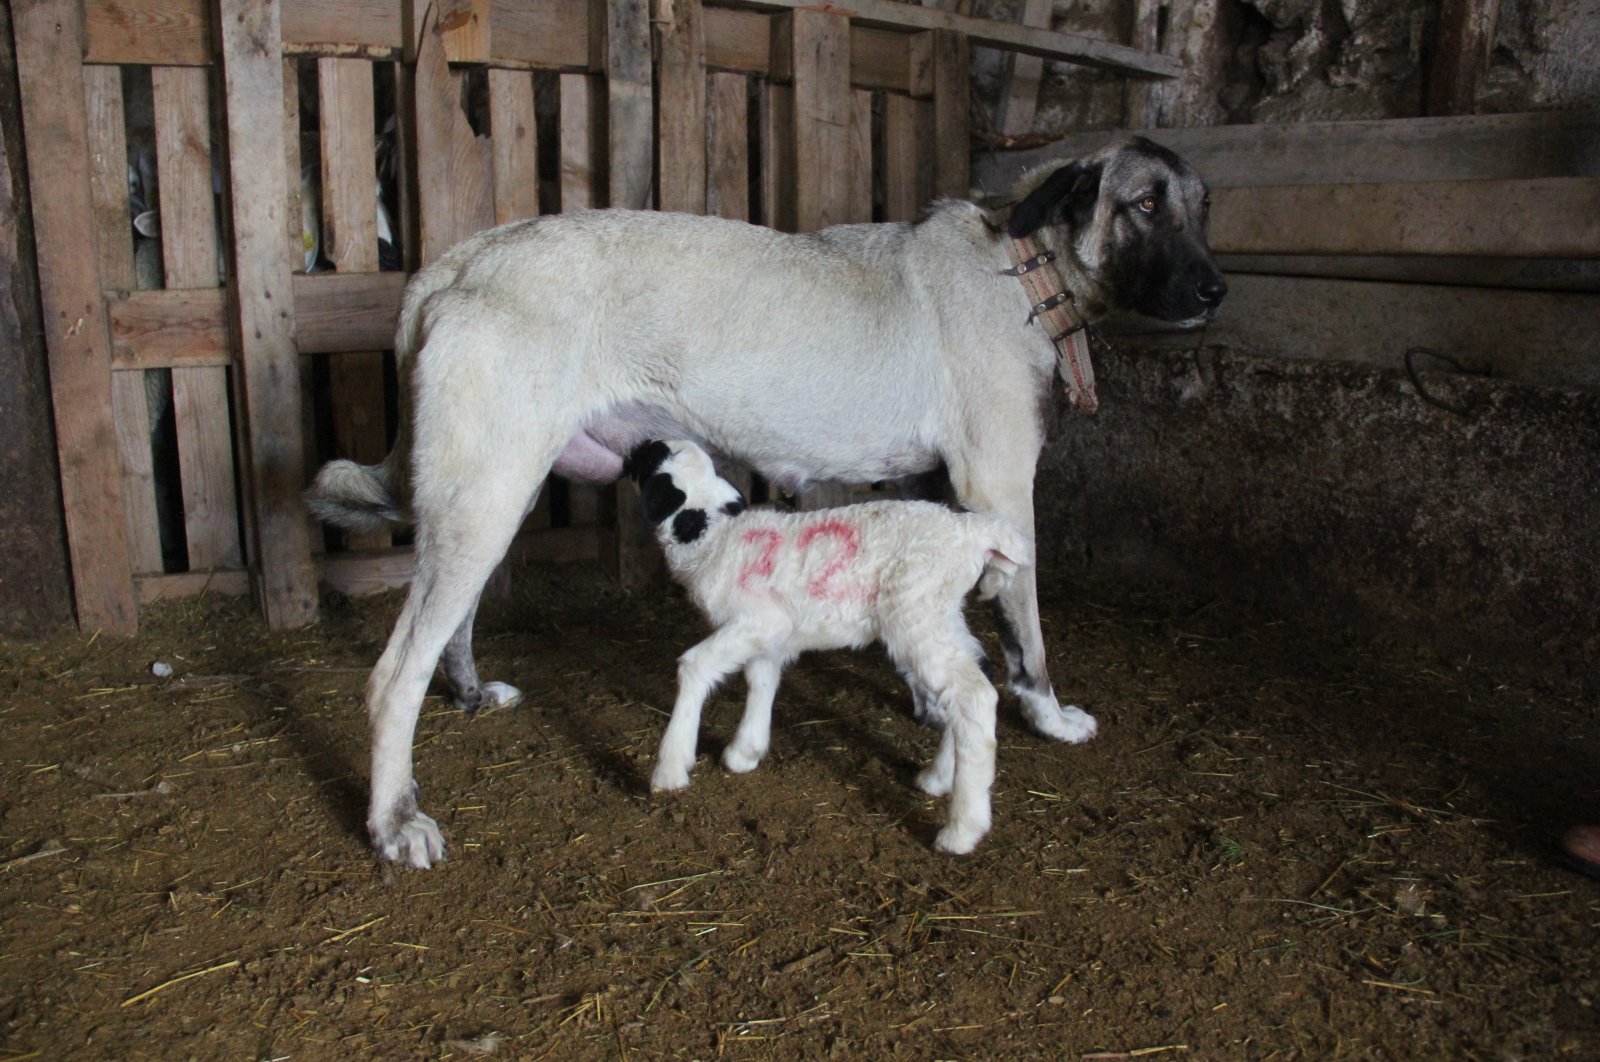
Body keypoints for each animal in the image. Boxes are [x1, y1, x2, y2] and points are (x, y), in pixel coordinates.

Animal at [630, 438, 1030, 857]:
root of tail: (970, 530)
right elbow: (762, 679)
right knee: (975, 678)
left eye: (647, 459)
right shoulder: (769, 633)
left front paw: (671, 768)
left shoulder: (757, 620)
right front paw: (745, 751)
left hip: (916, 614)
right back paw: (937, 777)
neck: (715, 536)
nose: (635, 447)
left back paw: (962, 830)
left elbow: (694, 666)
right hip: (941, 614)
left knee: (973, 696)